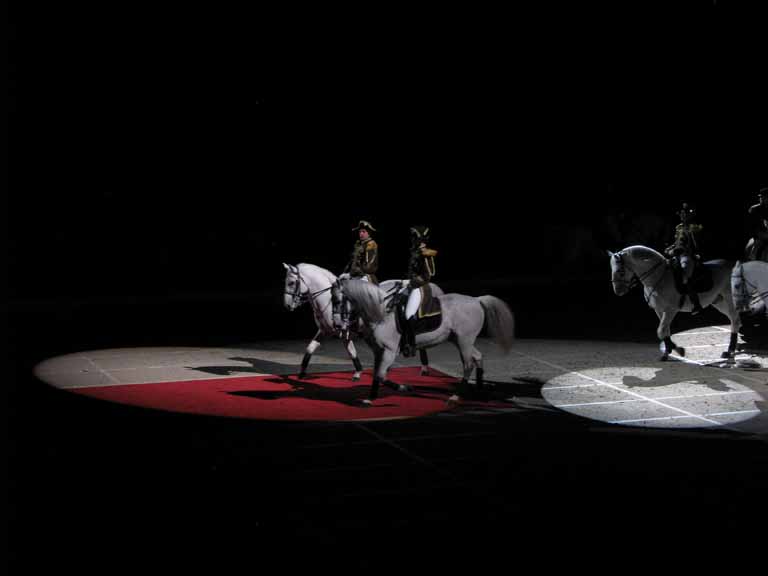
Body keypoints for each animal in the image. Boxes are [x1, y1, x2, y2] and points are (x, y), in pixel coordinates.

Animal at [284, 264, 444, 380]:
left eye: (291, 283)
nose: (287, 306)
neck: (328, 300)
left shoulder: (343, 331)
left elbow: (351, 351)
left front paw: (358, 372)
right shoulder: (325, 330)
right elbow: (310, 349)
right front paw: (302, 373)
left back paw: (419, 365)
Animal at [340, 276, 512, 402]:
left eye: (342, 301)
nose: (341, 326)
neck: (381, 312)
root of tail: (477, 300)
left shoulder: (389, 351)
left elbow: (380, 375)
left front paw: (397, 390)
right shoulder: (378, 351)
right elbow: (378, 374)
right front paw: (376, 396)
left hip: (464, 341)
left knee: (468, 365)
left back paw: (456, 396)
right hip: (459, 340)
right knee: (477, 356)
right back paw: (479, 388)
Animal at [608, 246, 740, 362]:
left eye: (620, 271)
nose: (618, 291)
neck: (658, 277)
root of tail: (731, 265)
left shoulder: (670, 310)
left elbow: (661, 330)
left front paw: (678, 350)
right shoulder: (659, 310)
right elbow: (665, 330)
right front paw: (669, 352)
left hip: (729, 300)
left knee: (735, 320)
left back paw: (730, 351)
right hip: (719, 302)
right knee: (734, 320)